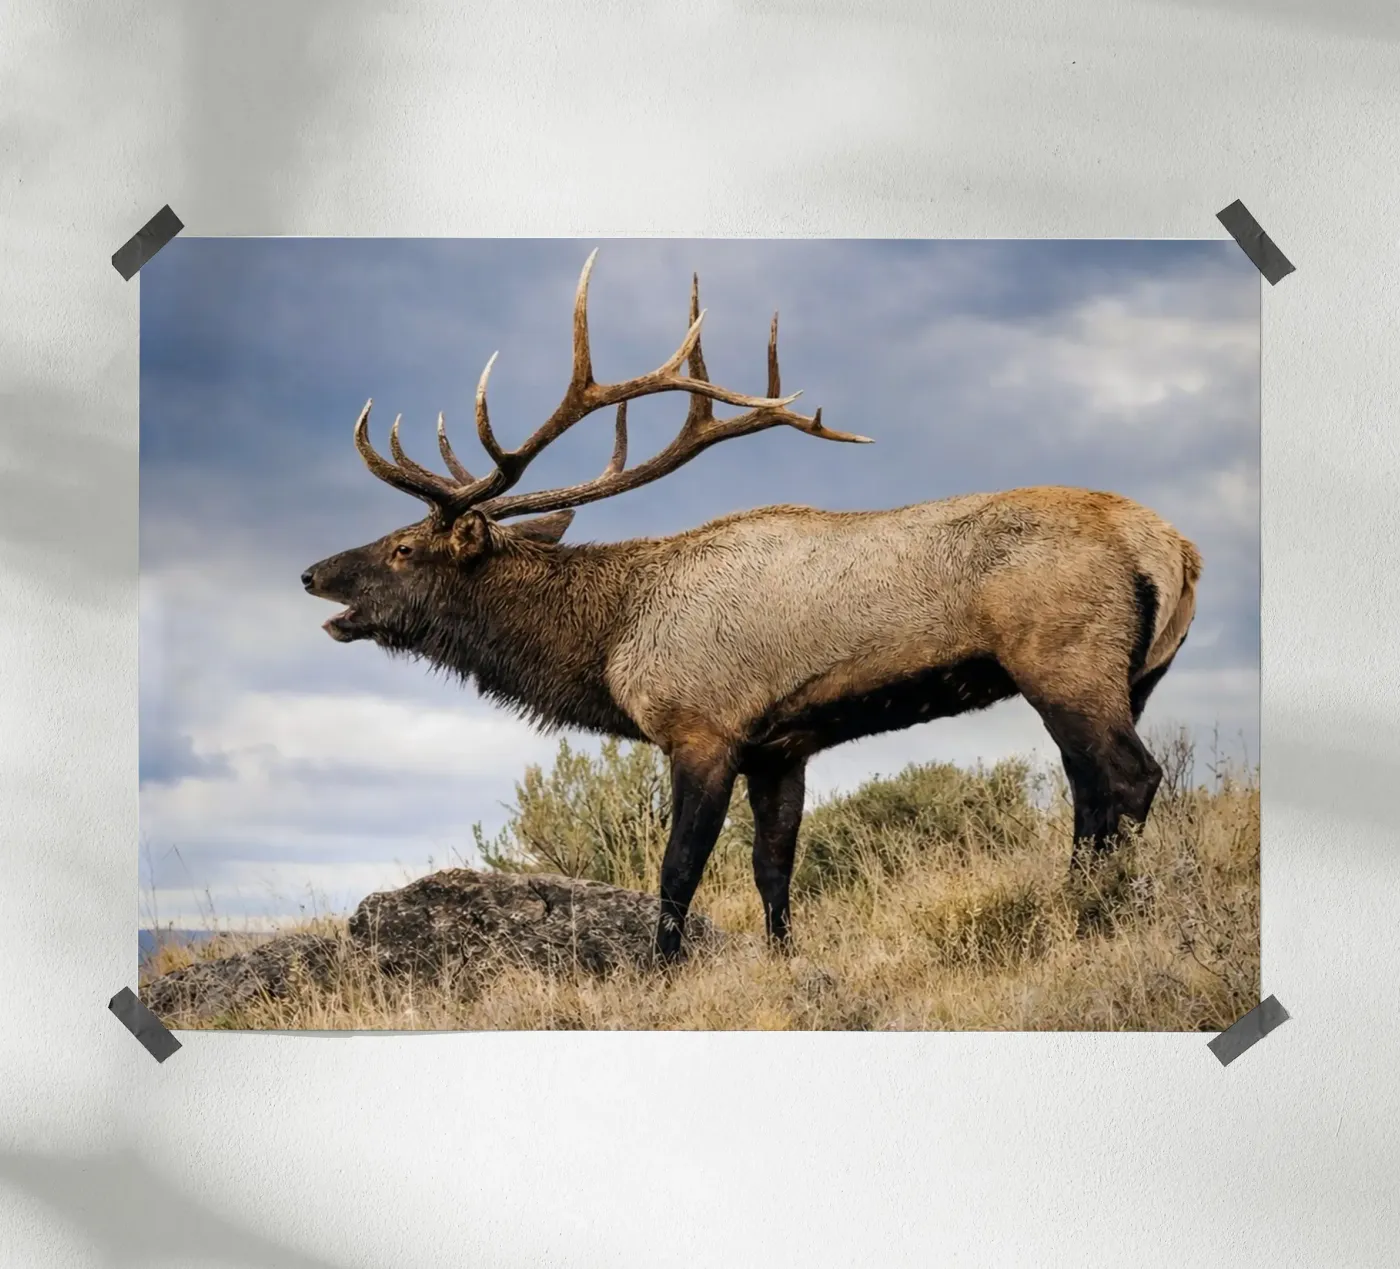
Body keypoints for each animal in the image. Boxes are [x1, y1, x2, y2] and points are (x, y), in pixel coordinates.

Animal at [301, 249, 1202, 965]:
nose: (312, 573)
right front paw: (781, 958)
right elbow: (774, 867)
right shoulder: (783, 745)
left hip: (1064, 659)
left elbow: (678, 869)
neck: (611, 643)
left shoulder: (703, 726)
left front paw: (660, 971)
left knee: (1128, 778)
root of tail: (1176, 550)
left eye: (404, 548)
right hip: (1136, 676)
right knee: (1090, 793)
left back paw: (1095, 917)